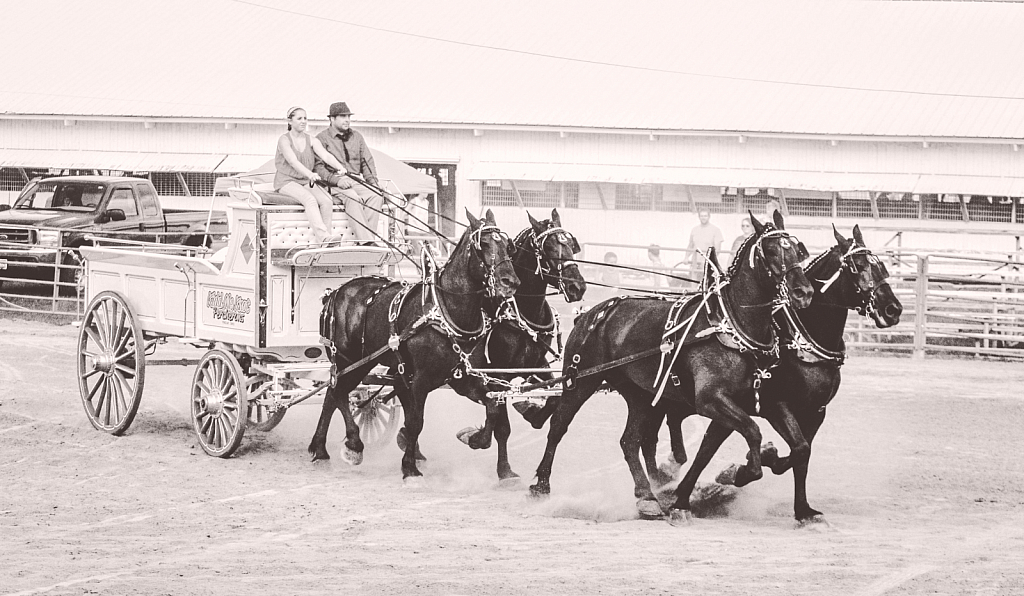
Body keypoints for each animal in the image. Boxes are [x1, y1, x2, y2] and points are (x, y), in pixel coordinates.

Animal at [311, 207, 520, 483]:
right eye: (482, 245)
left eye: (508, 245)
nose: (510, 282)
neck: (446, 312)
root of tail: (336, 292)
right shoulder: (420, 381)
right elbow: (416, 422)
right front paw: (409, 466)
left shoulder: (463, 379)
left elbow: (493, 410)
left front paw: (474, 439)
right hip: (350, 361)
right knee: (338, 393)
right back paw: (353, 444)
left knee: (332, 394)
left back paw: (320, 448)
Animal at [452, 208, 589, 485]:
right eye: (549, 248)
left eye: (572, 246)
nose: (577, 287)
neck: (522, 311)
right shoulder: (497, 375)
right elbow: (499, 422)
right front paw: (498, 464)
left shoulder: (537, 365)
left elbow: (553, 399)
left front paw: (531, 412)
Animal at [532, 214, 811, 524]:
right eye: (771, 251)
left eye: (798, 250)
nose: (803, 292)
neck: (732, 325)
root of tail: (592, 312)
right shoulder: (710, 400)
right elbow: (752, 431)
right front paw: (739, 472)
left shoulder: (769, 399)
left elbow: (799, 446)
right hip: (581, 382)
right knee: (559, 426)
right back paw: (541, 484)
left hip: (639, 394)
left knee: (630, 441)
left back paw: (647, 497)